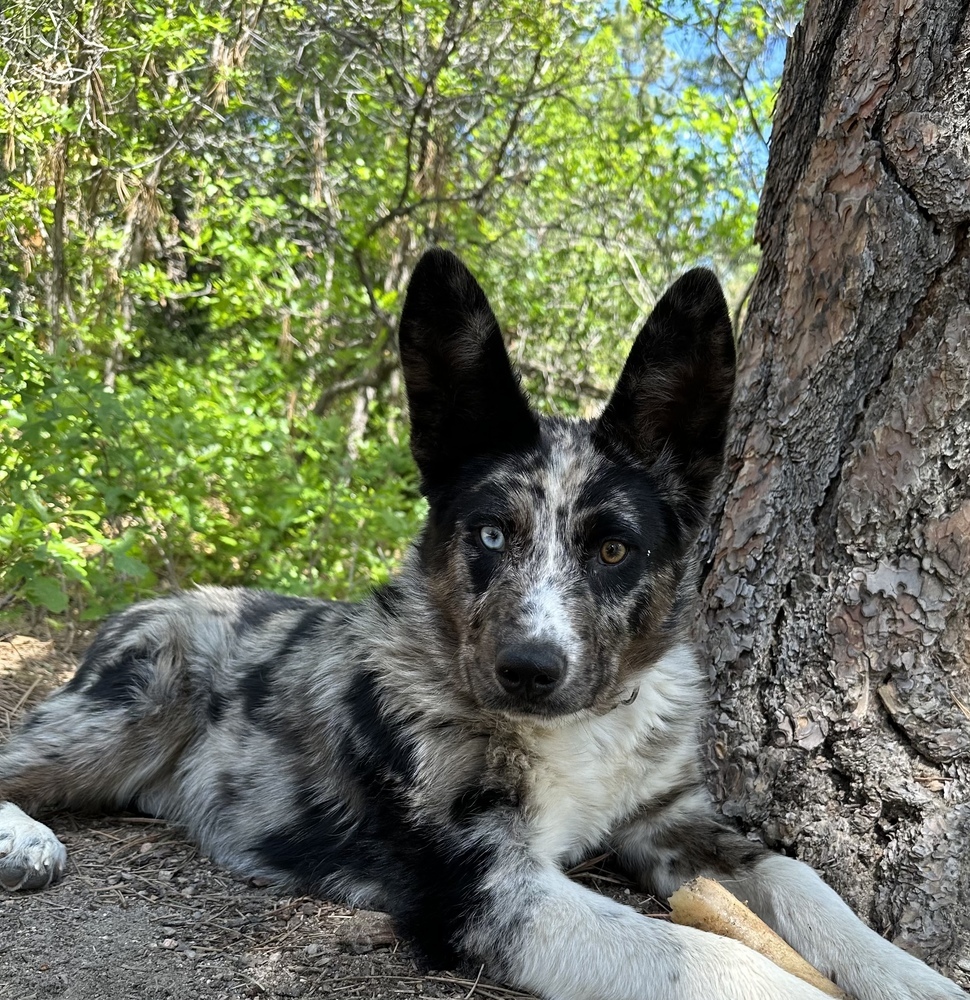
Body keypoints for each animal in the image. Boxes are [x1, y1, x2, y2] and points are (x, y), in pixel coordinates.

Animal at [0, 244, 960, 1000]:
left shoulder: (671, 820)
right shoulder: (488, 889)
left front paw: (914, 976)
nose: (529, 669)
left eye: (614, 549)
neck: (581, 732)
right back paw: (25, 838)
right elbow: (706, 957)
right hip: (122, 712)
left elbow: (802, 879)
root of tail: (165, 599)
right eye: (492, 533)